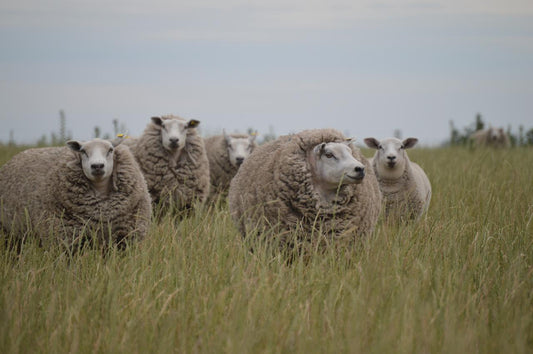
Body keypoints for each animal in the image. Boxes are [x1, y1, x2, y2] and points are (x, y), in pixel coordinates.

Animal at [0, 137, 152, 248]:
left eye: (110, 150)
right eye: (83, 151)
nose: (97, 166)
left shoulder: (126, 237)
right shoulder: (66, 239)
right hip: (10, 233)